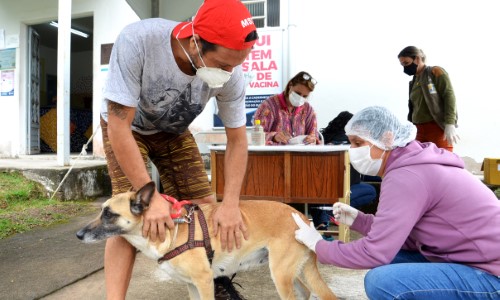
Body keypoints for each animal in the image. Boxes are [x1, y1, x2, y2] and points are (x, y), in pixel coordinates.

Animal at [78, 182, 336, 298]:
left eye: (108, 214)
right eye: (101, 211)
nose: (78, 235)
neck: (173, 232)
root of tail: (302, 216)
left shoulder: (203, 282)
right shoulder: (192, 285)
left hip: (280, 275)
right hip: (289, 273)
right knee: (306, 292)